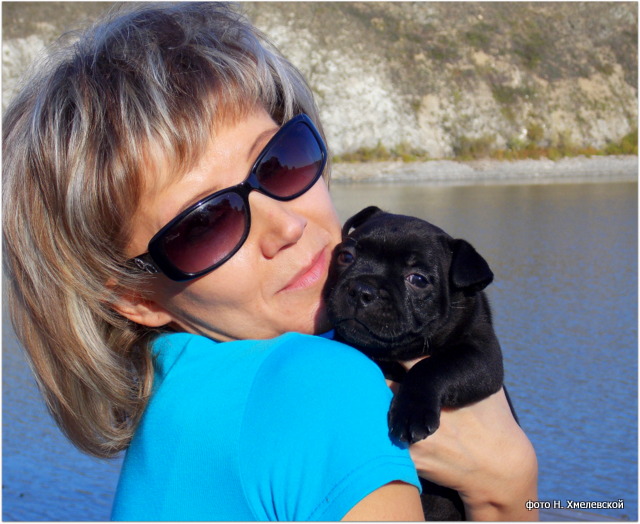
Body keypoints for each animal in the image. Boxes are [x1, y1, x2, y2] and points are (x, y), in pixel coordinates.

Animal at [324, 206, 516, 520]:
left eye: (419, 280)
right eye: (346, 257)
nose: (362, 289)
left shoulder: (482, 356)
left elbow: (431, 366)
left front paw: (411, 412)